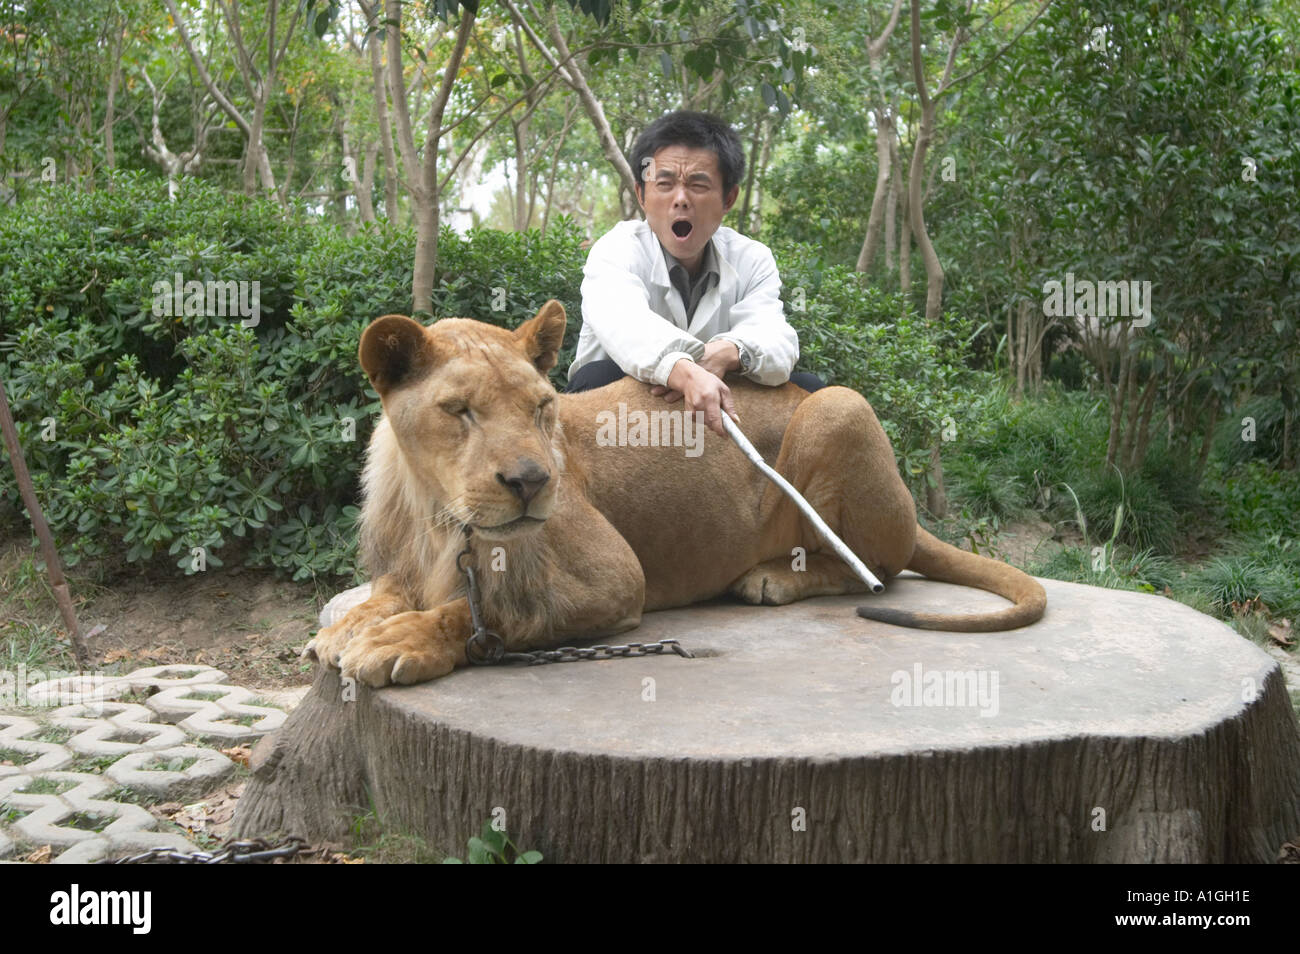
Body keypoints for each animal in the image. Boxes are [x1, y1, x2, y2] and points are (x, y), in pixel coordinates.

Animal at [301, 300, 1045, 686]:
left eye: (541, 407)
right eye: (459, 411)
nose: (532, 482)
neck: (435, 513)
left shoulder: (616, 579)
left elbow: (482, 615)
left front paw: (396, 642)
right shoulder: (403, 566)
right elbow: (385, 596)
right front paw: (346, 628)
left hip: (841, 406)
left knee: (879, 572)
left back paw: (772, 579)